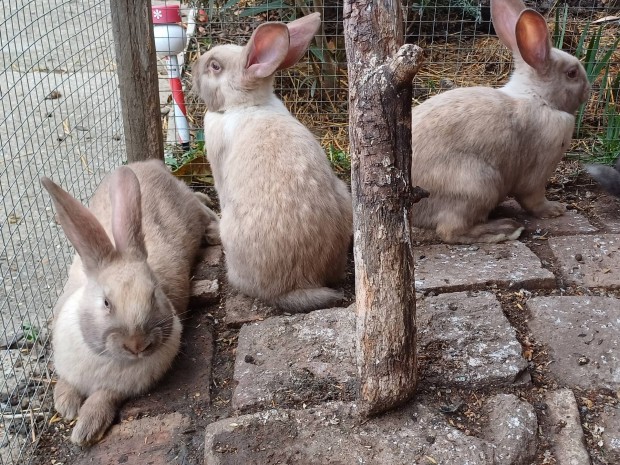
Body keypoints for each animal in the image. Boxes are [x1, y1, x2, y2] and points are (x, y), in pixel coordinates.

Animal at [41, 160, 220, 446]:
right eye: (106, 302)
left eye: (154, 295)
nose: (137, 345)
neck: (105, 357)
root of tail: (149, 163)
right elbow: (66, 382)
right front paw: (65, 405)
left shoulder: (117, 390)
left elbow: (102, 398)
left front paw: (85, 429)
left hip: (189, 210)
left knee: (206, 210)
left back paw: (213, 233)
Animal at [412, 0, 592, 246]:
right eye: (572, 73)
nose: (589, 89)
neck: (540, 98)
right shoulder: (538, 173)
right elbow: (533, 199)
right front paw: (555, 209)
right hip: (477, 184)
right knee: (450, 231)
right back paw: (506, 229)